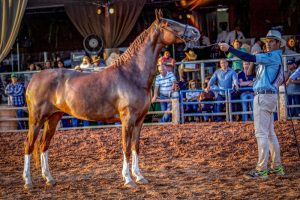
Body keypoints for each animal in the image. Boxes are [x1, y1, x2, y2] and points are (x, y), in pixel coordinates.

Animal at [21, 9, 199, 189]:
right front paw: (128, 179)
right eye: (169, 24)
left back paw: (49, 178)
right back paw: (28, 181)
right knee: (29, 145)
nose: (195, 32)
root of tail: (33, 79)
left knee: (44, 145)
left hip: (53, 117)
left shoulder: (139, 120)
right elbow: (126, 147)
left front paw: (139, 176)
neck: (131, 74)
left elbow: (135, 146)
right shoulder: (127, 119)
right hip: (37, 119)